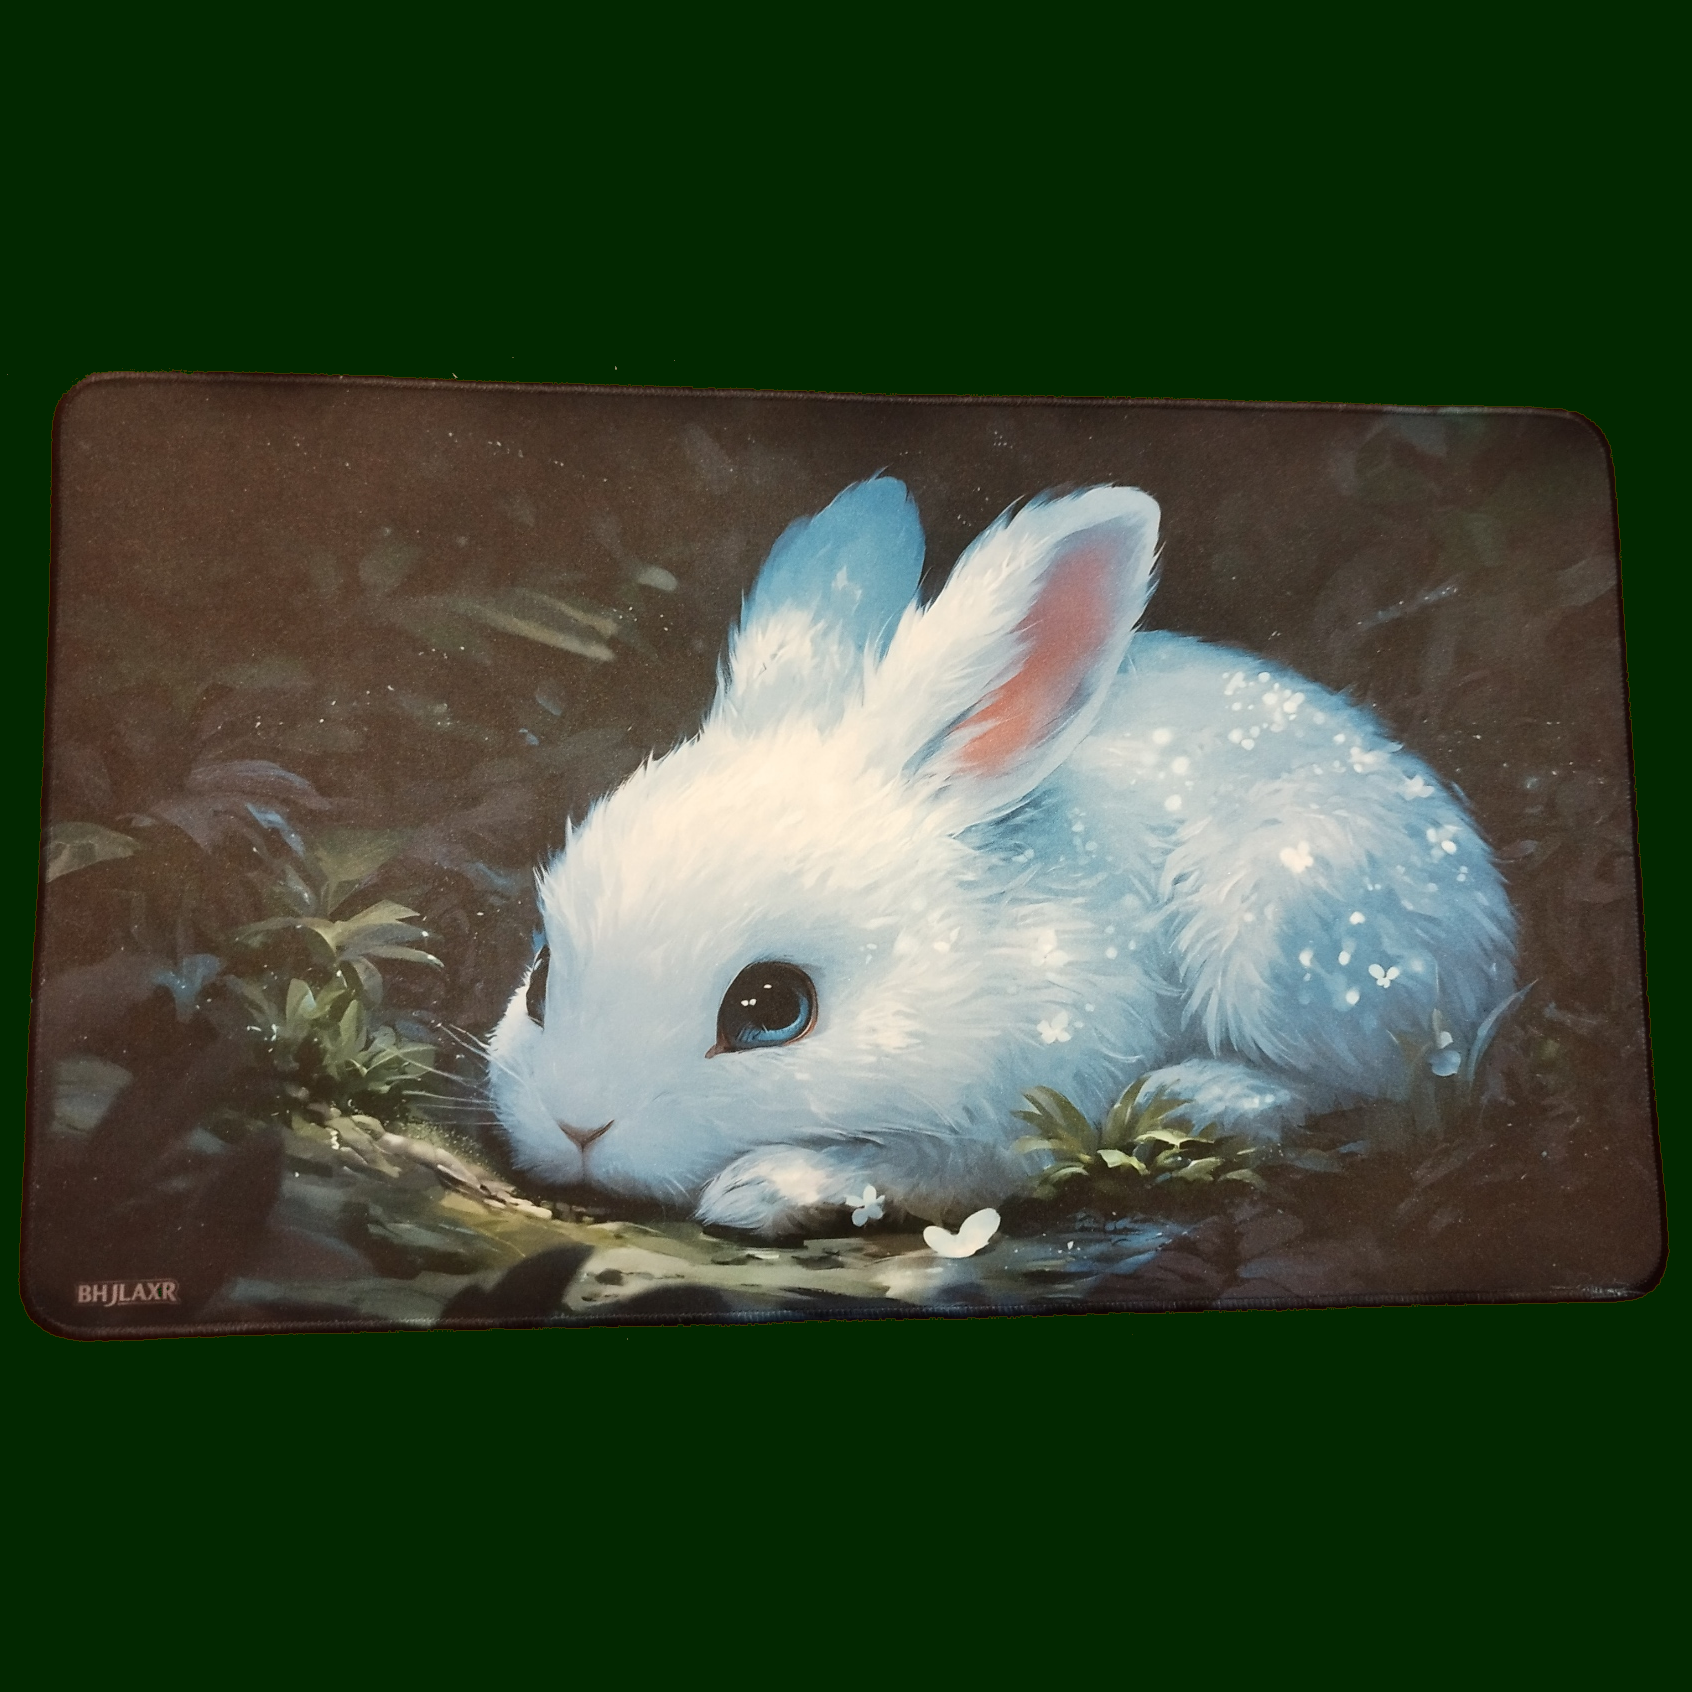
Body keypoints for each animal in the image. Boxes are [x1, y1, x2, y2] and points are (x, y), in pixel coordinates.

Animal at [486, 476, 1517, 1237]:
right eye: (540, 980)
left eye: (772, 1010)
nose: (579, 1125)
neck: (977, 959)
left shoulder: (1026, 1118)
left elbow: (937, 1171)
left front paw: (766, 1185)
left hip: (1284, 931)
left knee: (1378, 1092)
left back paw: (1198, 1094)